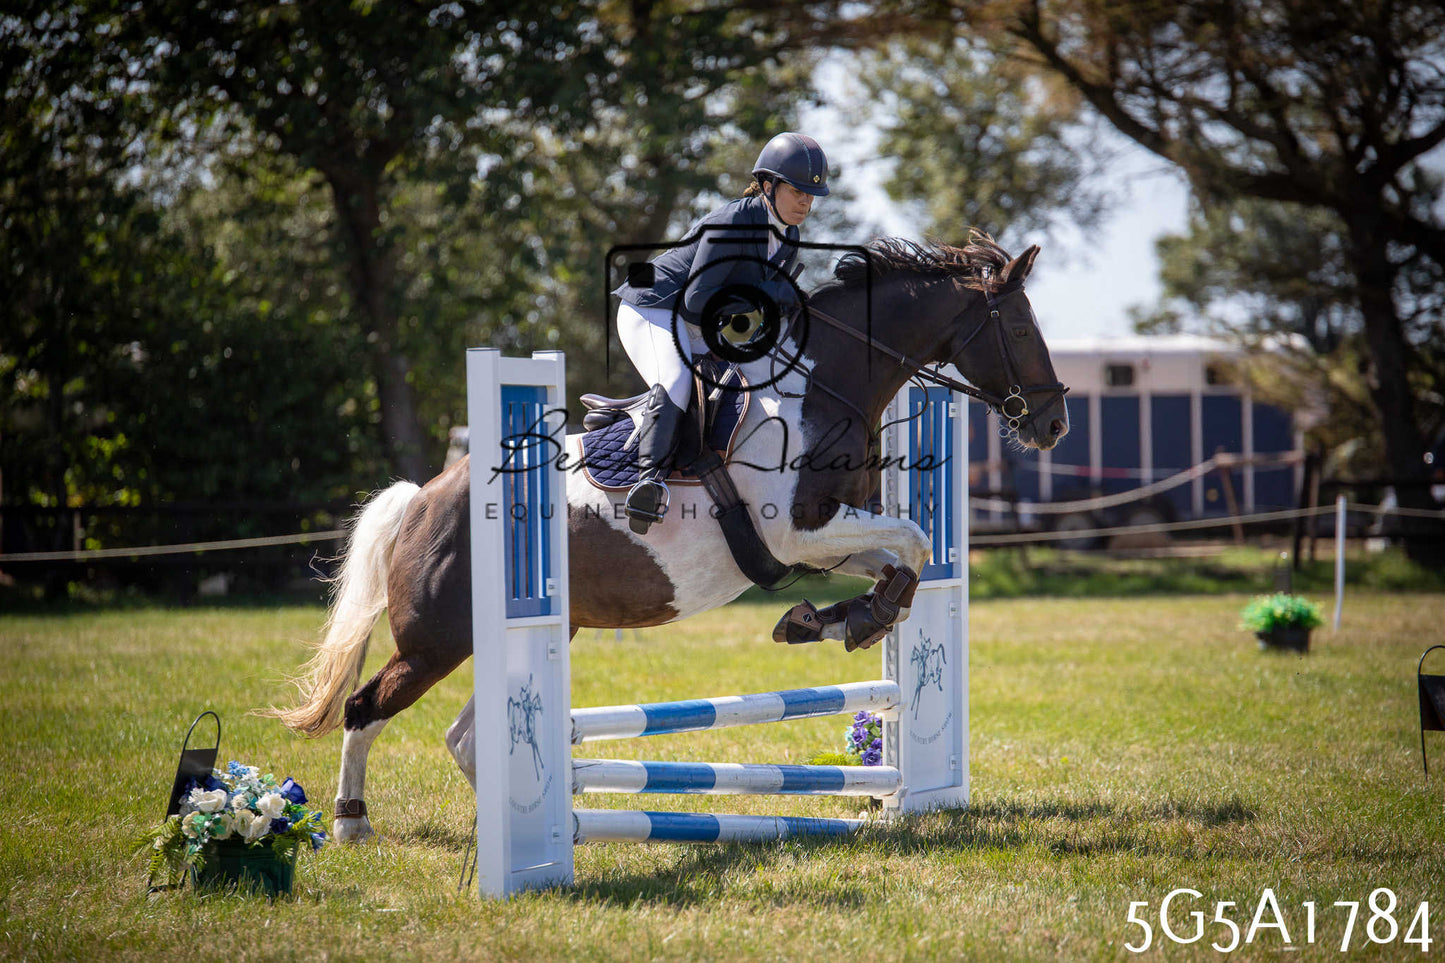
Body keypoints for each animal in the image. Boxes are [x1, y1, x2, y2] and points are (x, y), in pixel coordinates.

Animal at [266, 232, 1070, 841]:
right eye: (1020, 328)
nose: (1053, 423)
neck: (824, 383)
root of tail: (424, 498)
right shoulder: (794, 533)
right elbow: (914, 539)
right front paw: (847, 620)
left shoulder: (826, 534)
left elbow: (906, 555)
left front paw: (834, 619)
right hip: (436, 639)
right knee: (365, 707)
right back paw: (354, 823)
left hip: (520, 632)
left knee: (463, 736)